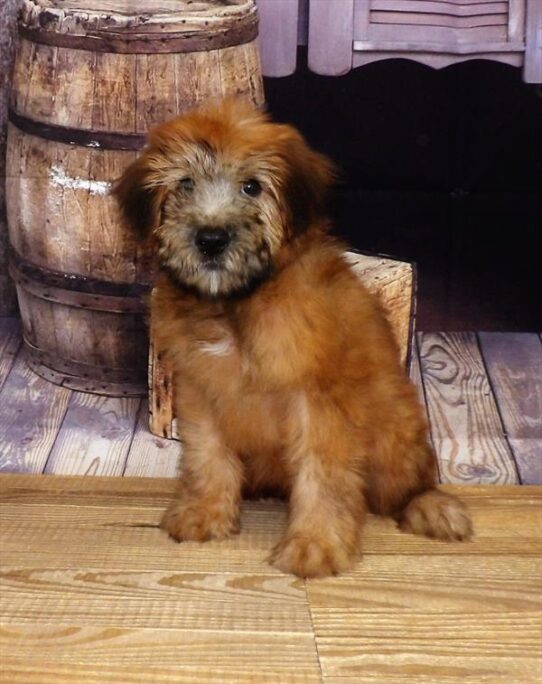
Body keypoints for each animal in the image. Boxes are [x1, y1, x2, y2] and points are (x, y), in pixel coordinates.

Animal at [113, 100, 472, 576]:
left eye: (252, 186)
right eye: (185, 183)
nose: (211, 239)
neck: (237, 304)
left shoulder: (319, 400)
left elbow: (323, 474)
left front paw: (315, 545)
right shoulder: (200, 392)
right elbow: (207, 455)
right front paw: (205, 511)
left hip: (396, 436)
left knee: (405, 488)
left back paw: (430, 506)